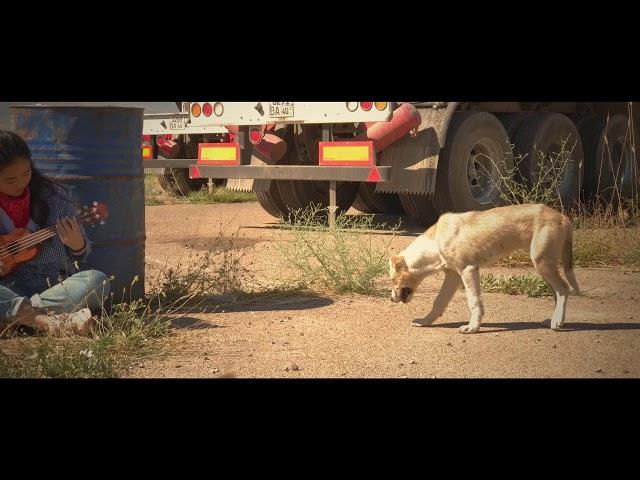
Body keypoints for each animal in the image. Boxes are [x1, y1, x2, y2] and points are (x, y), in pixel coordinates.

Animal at [390, 203, 580, 334]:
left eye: (392, 280)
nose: (391, 300)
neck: (435, 243)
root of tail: (564, 218)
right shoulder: (453, 276)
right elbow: (439, 302)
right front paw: (425, 321)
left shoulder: (468, 270)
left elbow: (474, 302)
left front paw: (473, 328)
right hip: (545, 265)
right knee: (557, 292)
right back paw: (556, 320)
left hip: (542, 262)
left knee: (563, 289)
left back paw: (557, 322)